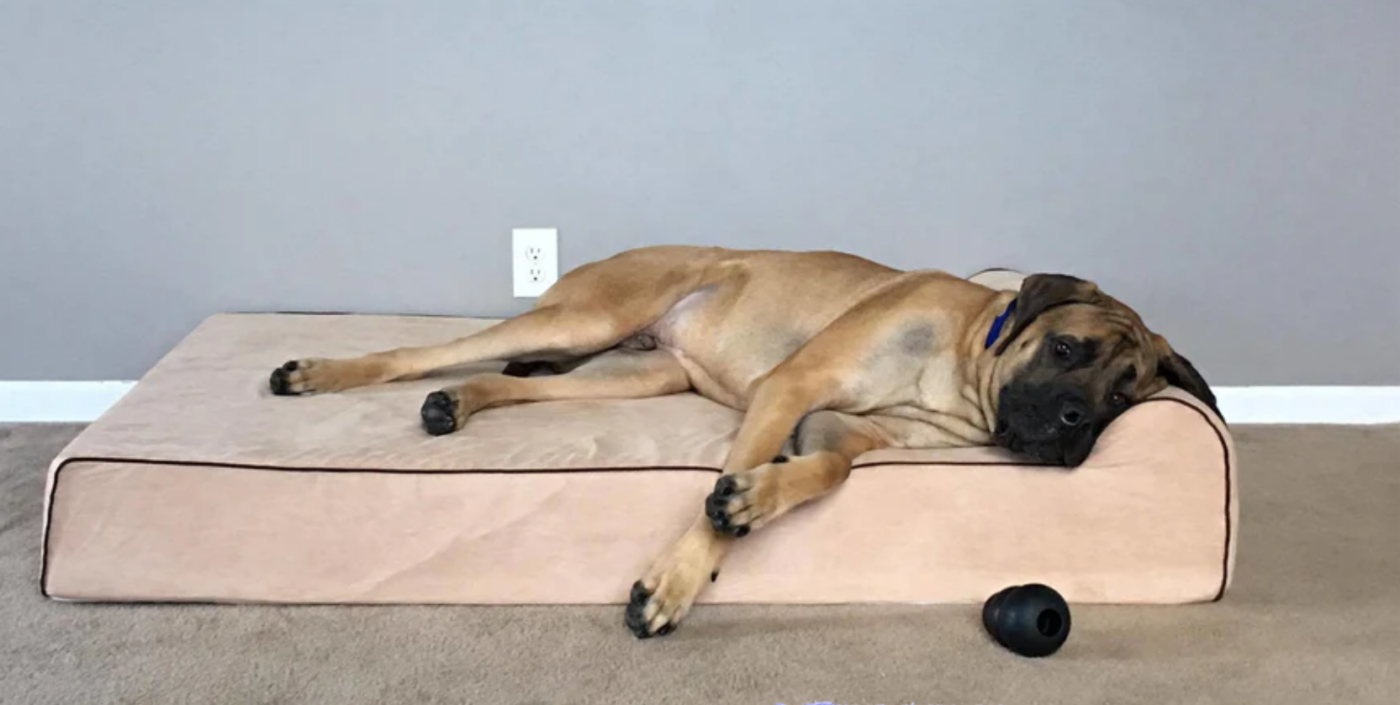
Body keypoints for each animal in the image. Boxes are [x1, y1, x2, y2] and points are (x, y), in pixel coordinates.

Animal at [267, 246, 1220, 637]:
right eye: (1068, 351)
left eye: (1122, 396)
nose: (1075, 427)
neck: (961, 365)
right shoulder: (790, 389)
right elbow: (717, 503)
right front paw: (679, 578)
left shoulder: (832, 425)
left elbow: (825, 468)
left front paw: (757, 496)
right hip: (591, 315)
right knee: (427, 351)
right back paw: (318, 373)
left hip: (637, 373)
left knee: (510, 379)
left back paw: (455, 405)